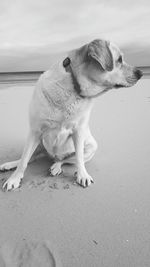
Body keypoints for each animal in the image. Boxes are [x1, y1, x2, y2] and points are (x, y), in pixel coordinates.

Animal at [0, 39, 143, 191]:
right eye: (119, 59)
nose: (140, 73)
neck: (74, 87)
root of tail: (52, 156)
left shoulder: (79, 131)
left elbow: (79, 158)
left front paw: (82, 175)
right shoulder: (35, 130)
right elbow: (24, 160)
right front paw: (14, 178)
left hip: (91, 147)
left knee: (65, 160)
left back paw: (56, 167)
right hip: (39, 143)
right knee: (29, 157)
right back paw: (10, 164)